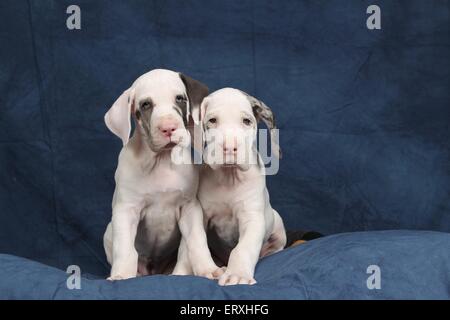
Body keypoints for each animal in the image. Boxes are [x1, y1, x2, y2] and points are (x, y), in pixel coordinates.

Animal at [102, 68, 221, 280]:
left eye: (180, 98)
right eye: (146, 104)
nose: (168, 128)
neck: (161, 162)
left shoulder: (189, 208)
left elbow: (197, 241)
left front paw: (208, 269)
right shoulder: (126, 210)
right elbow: (125, 249)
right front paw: (121, 275)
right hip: (109, 230)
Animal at [192, 87, 284, 284]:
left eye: (246, 121)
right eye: (212, 120)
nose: (229, 147)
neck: (229, 178)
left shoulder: (252, 218)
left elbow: (243, 249)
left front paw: (238, 274)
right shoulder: (200, 214)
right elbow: (194, 242)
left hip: (277, 223)